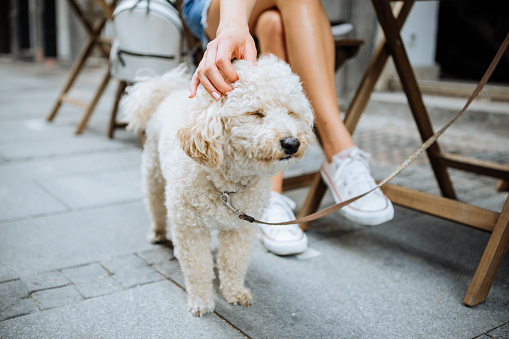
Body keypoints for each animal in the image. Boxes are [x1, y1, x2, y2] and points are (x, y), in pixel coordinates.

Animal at [123, 54, 314, 318]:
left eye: (290, 112)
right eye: (256, 113)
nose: (292, 143)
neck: (226, 184)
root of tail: (168, 90)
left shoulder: (240, 228)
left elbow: (233, 262)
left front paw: (234, 293)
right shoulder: (190, 229)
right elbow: (199, 268)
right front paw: (202, 301)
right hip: (153, 170)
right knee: (155, 204)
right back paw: (157, 232)